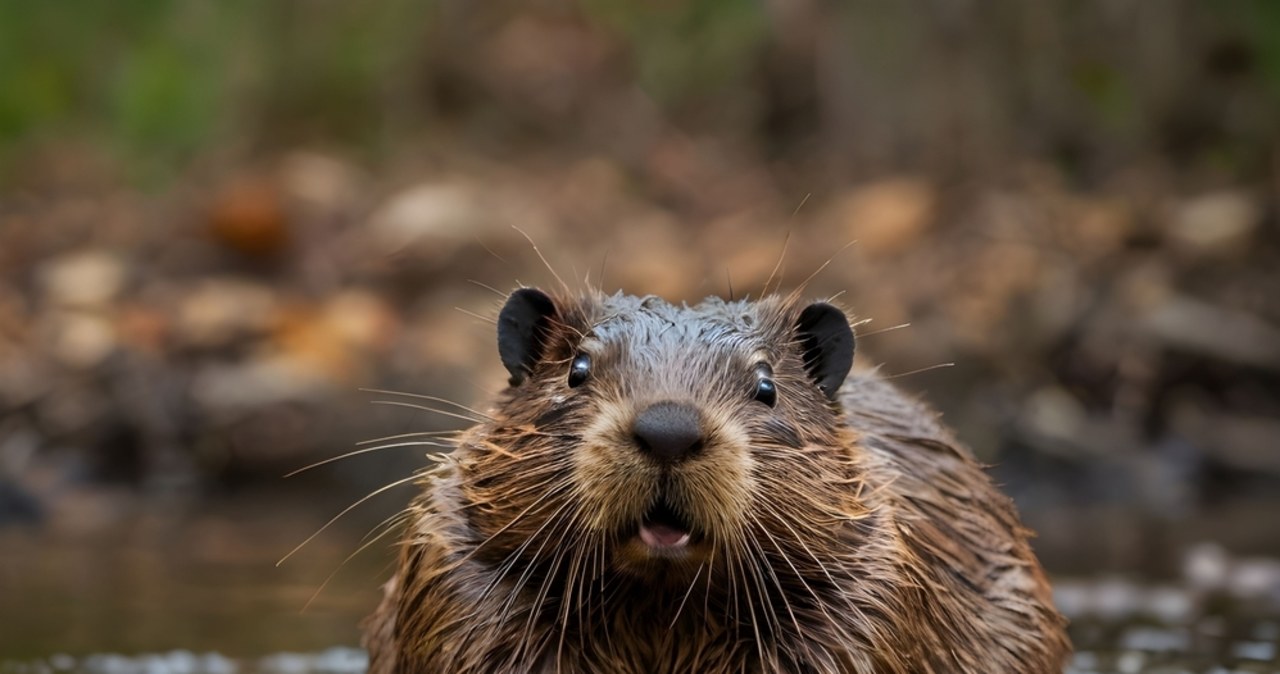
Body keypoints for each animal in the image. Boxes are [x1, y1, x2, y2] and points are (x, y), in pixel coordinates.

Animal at [363, 289, 1070, 674]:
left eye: (766, 385)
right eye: (578, 369)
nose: (668, 429)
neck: (657, 612)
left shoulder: (873, 594)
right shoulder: (454, 580)